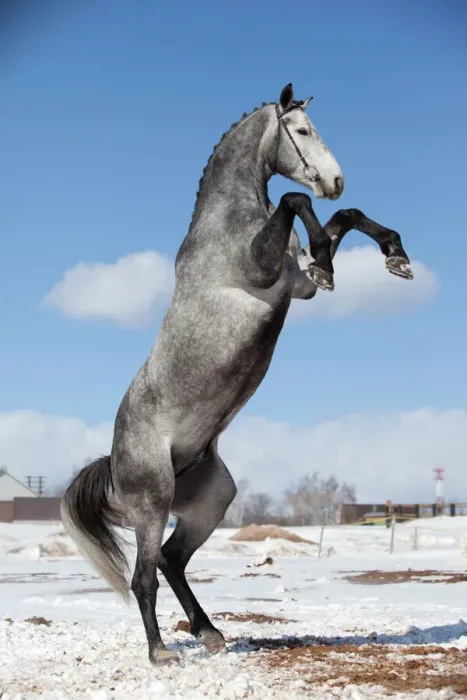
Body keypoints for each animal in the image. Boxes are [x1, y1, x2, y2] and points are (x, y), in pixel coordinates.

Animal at [61, 83, 413, 664]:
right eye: (302, 131)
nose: (335, 180)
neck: (229, 217)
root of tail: (113, 463)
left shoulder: (298, 285)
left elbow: (344, 219)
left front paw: (394, 255)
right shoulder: (267, 272)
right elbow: (296, 201)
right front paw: (335, 255)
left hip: (211, 501)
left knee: (171, 560)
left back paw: (210, 633)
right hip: (152, 502)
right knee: (143, 575)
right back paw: (162, 653)